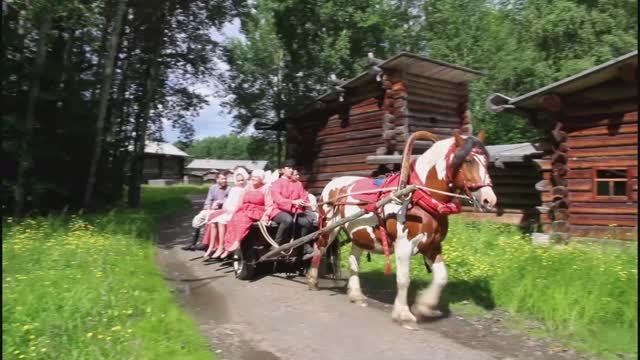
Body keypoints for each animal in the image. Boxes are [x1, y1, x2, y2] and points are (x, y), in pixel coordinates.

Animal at [308, 131, 498, 324]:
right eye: (468, 160)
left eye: (486, 161)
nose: (489, 200)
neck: (418, 197)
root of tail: (333, 183)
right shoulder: (404, 245)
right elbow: (404, 279)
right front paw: (403, 313)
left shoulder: (433, 245)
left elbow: (441, 277)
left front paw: (425, 306)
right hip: (329, 228)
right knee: (319, 248)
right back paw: (312, 280)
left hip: (360, 235)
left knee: (353, 262)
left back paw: (356, 295)